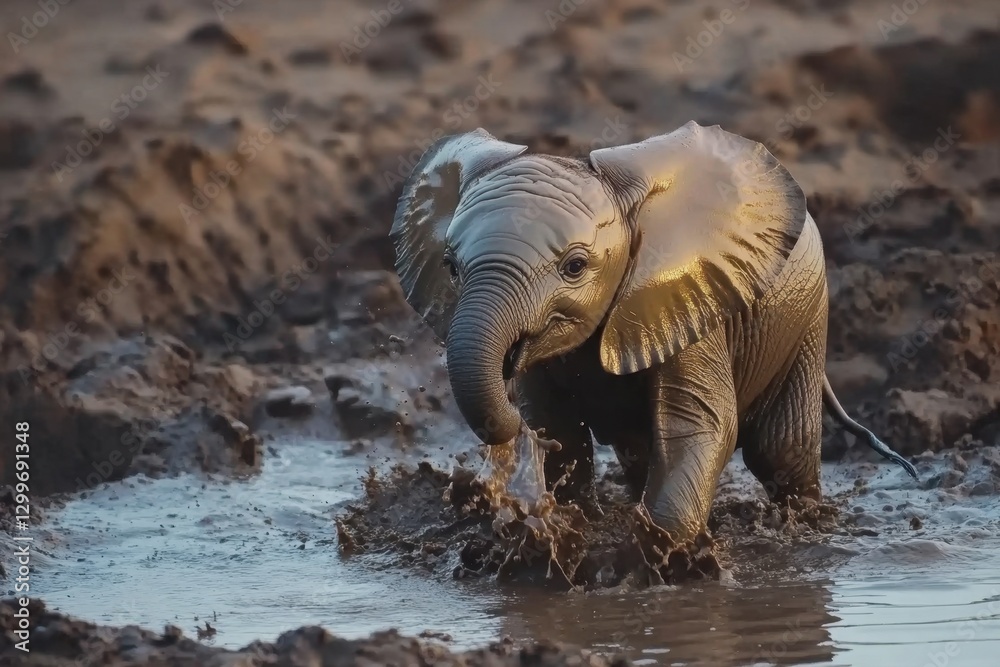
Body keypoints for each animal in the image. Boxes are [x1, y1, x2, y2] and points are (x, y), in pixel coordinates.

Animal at [390, 121, 917, 546]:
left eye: (574, 266)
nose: (505, 387)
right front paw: (569, 528)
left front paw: (662, 557)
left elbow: (697, 424)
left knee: (779, 449)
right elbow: (557, 426)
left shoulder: (692, 298)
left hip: (807, 314)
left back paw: (808, 527)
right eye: (451, 268)